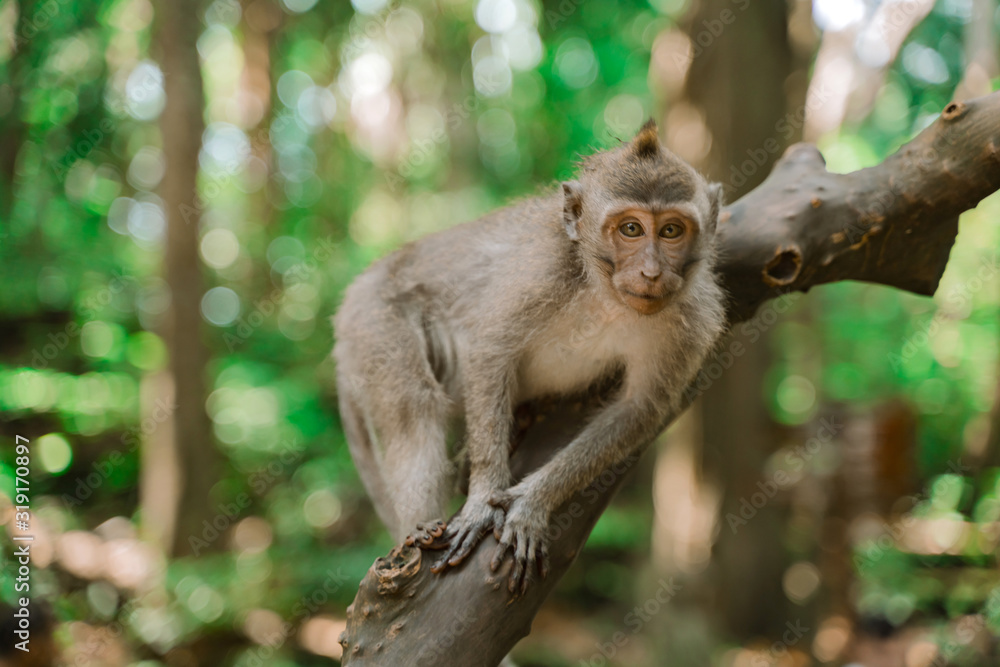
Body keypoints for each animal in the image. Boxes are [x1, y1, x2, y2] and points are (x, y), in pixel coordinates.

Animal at [333, 120, 726, 593]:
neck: (607, 296)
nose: (651, 273)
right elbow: (490, 350)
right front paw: (482, 501)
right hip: (374, 317)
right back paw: (418, 526)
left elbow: (639, 409)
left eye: (671, 231)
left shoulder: (694, 321)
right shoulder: (542, 271)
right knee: (413, 401)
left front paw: (534, 503)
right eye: (631, 229)